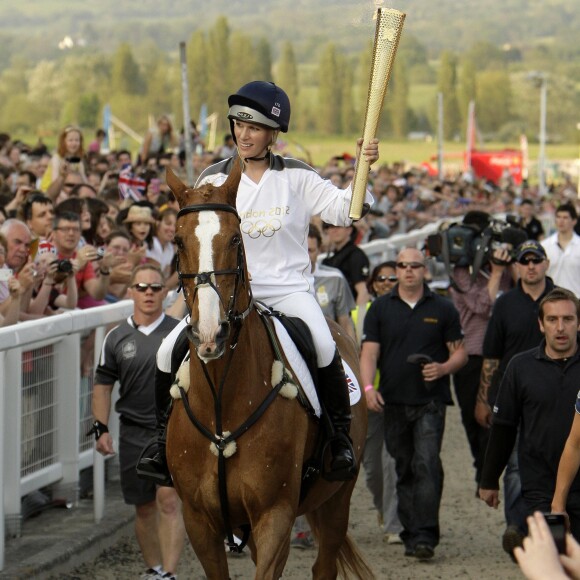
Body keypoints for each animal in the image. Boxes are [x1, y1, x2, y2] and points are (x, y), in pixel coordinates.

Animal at [164, 162, 372, 580]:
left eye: (234, 239)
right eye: (178, 242)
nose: (209, 334)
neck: (222, 402)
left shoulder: (274, 515)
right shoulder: (199, 521)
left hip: (337, 497)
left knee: (325, 564)